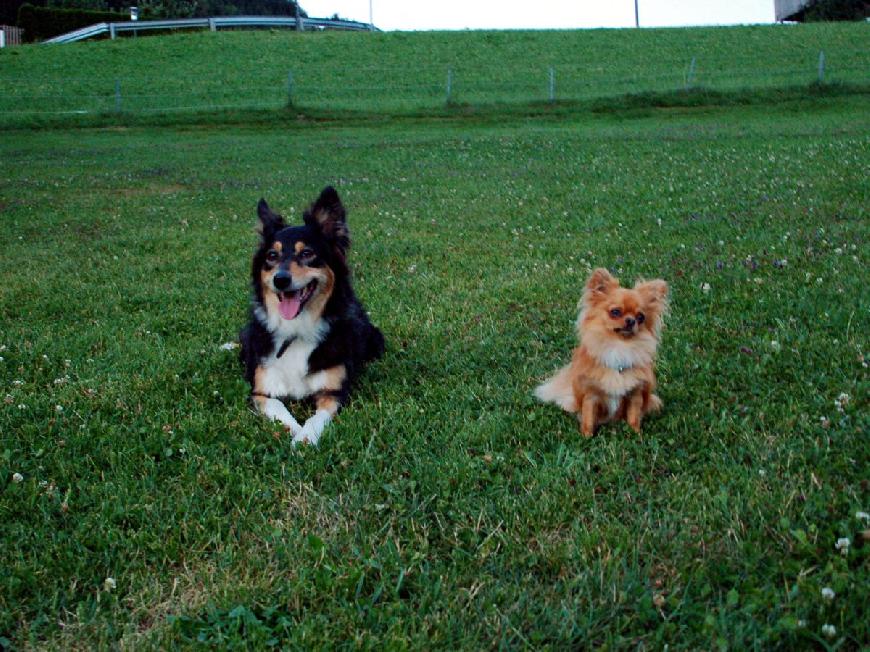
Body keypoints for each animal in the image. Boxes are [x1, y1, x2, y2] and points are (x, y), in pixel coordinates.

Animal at [240, 186, 386, 446]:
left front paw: (304, 438)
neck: (296, 330)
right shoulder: (261, 391)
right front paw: (293, 431)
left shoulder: (334, 392)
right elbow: (280, 410)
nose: (280, 279)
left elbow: (317, 418)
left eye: (307, 253)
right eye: (271, 256)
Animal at [536, 268, 672, 436]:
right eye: (615, 312)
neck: (619, 348)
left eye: (641, 317)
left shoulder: (635, 394)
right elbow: (588, 418)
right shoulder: (590, 395)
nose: (631, 320)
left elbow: (633, 416)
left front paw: (636, 434)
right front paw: (587, 436)